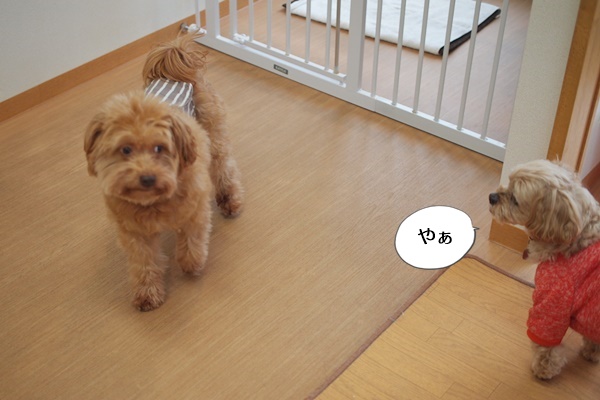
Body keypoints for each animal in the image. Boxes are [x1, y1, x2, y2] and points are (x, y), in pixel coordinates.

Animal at [84, 34, 243, 311]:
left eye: (159, 147)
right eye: (125, 150)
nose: (147, 178)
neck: (153, 202)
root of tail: (173, 59)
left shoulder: (195, 213)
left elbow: (192, 244)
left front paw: (191, 265)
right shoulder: (134, 233)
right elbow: (145, 263)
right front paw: (147, 294)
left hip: (215, 138)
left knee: (225, 169)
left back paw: (230, 201)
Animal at [489, 159, 600, 379]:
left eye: (515, 199)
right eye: (508, 182)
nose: (492, 197)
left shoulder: (554, 300)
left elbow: (546, 343)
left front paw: (544, 369)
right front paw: (592, 351)